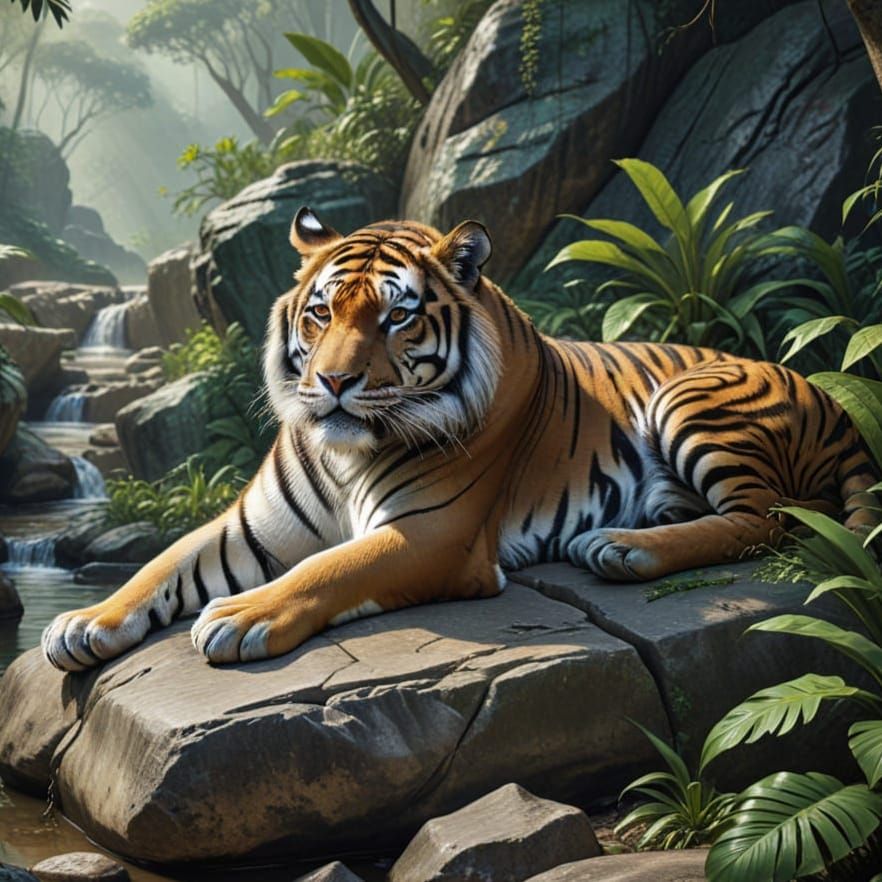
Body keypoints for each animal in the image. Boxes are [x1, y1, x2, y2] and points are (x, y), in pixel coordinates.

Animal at [42, 208, 878, 671]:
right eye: (321, 313)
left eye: (396, 318)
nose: (334, 381)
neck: (344, 452)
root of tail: (828, 395)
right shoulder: (249, 528)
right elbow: (161, 563)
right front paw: (84, 623)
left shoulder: (433, 534)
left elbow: (329, 569)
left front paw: (240, 618)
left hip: (691, 399)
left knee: (773, 519)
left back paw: (622, 548)